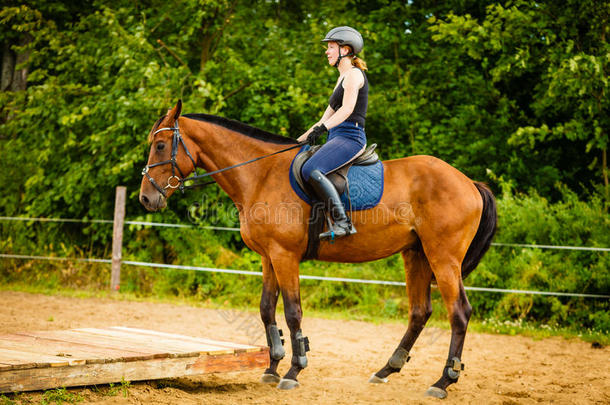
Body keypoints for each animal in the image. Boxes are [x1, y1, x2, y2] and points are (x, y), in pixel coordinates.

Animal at [140, 101, 496, 398]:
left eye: (160, 146)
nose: (146, 198)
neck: (261, 174)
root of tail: (469, 182)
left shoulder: (285, 256)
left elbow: (292, 312)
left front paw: (293, 371)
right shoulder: (268, 257)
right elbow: (267, 309)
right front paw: (272, 366)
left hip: (443, 258)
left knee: (459, 313)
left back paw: (443, 381)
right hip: (416, 255)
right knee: (420, 312)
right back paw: (386, 370)